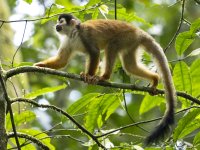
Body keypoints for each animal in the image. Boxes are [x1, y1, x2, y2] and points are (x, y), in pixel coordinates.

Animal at [34, 14, 177, 145]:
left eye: (61, 21)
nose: (56, 25)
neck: (73, 34)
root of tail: (138, 31)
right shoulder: (67, 41)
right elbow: (62, 61)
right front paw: (40, 66)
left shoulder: (86, 35)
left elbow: (94, 52)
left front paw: (88, 76)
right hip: (132, 42)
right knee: (130, 66)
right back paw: (155, 78)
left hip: (127, 37)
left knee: (111, 45)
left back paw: (104, 76)